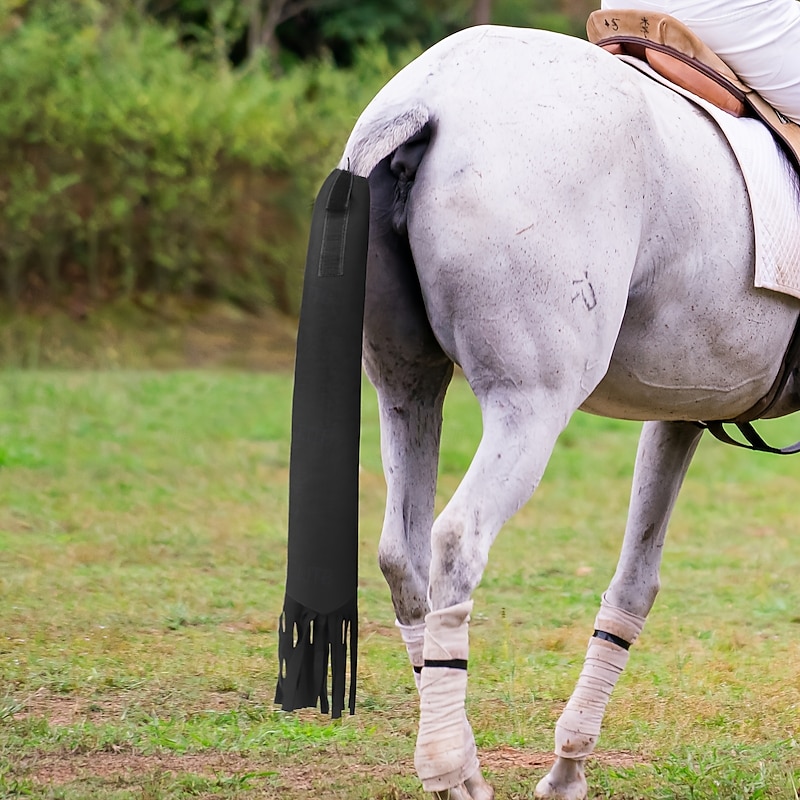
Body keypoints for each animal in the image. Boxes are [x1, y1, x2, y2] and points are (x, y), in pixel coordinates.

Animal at [335, 23, 800, 800]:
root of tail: (424, 100)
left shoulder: (680, 410)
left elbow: (635, 584)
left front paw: (568, 768)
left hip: (405, 387)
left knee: (404, 555)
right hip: (532, 404)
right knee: (456, 541)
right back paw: (456, 770)